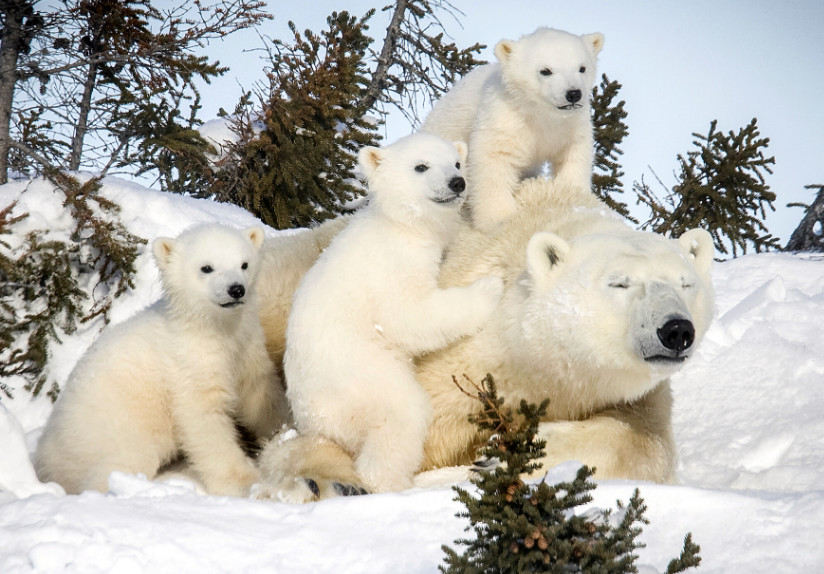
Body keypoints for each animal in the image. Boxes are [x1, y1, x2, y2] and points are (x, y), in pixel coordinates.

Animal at [34, 223, 289, 497]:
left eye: (244, 264)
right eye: (206, 267)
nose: (236, 289)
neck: (209, 328)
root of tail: (43, 455)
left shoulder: (246, 347)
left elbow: (259, 391)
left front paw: (286, 428)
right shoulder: (188, 364)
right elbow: (203, 419)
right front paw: (245, 481)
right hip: (111, 431)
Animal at [253, 177, 714, 500]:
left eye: (685, 283)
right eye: (619, 283)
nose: (676, 330)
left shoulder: (632, 395)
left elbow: (645, 443)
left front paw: (502, 454)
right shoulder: (460, 359)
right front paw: (328, 479)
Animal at [282, 133, 504, 495]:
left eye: (457, 162)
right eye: (421, 166)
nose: (457, 182)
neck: (401, 225)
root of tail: (314, 425)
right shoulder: (391, 267)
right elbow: (410, 316)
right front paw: (491, 286)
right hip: (365, 379)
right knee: (401, 418)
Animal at [420, 27, 604, 232]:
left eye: (582, 68)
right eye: (545, 71)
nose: (573, 94)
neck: (540, 114)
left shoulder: (571, 125)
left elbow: (573, 155)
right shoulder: (505, 118)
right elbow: (494, 158)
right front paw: (498, 219)